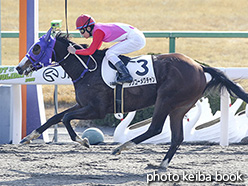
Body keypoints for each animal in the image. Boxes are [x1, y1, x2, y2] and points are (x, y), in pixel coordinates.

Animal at [15, 28, 248, 169]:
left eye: (36, 47)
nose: (18, 67)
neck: (87, 69)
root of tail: (200, 67)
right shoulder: (83, 104)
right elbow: (56, 117)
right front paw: (29, 136)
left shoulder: (96, 109)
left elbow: (64, 118)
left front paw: (83, 141)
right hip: (179, 107)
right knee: (176, 137)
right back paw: (162, 164)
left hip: (166, 100)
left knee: (155, 128)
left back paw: (121, 147)